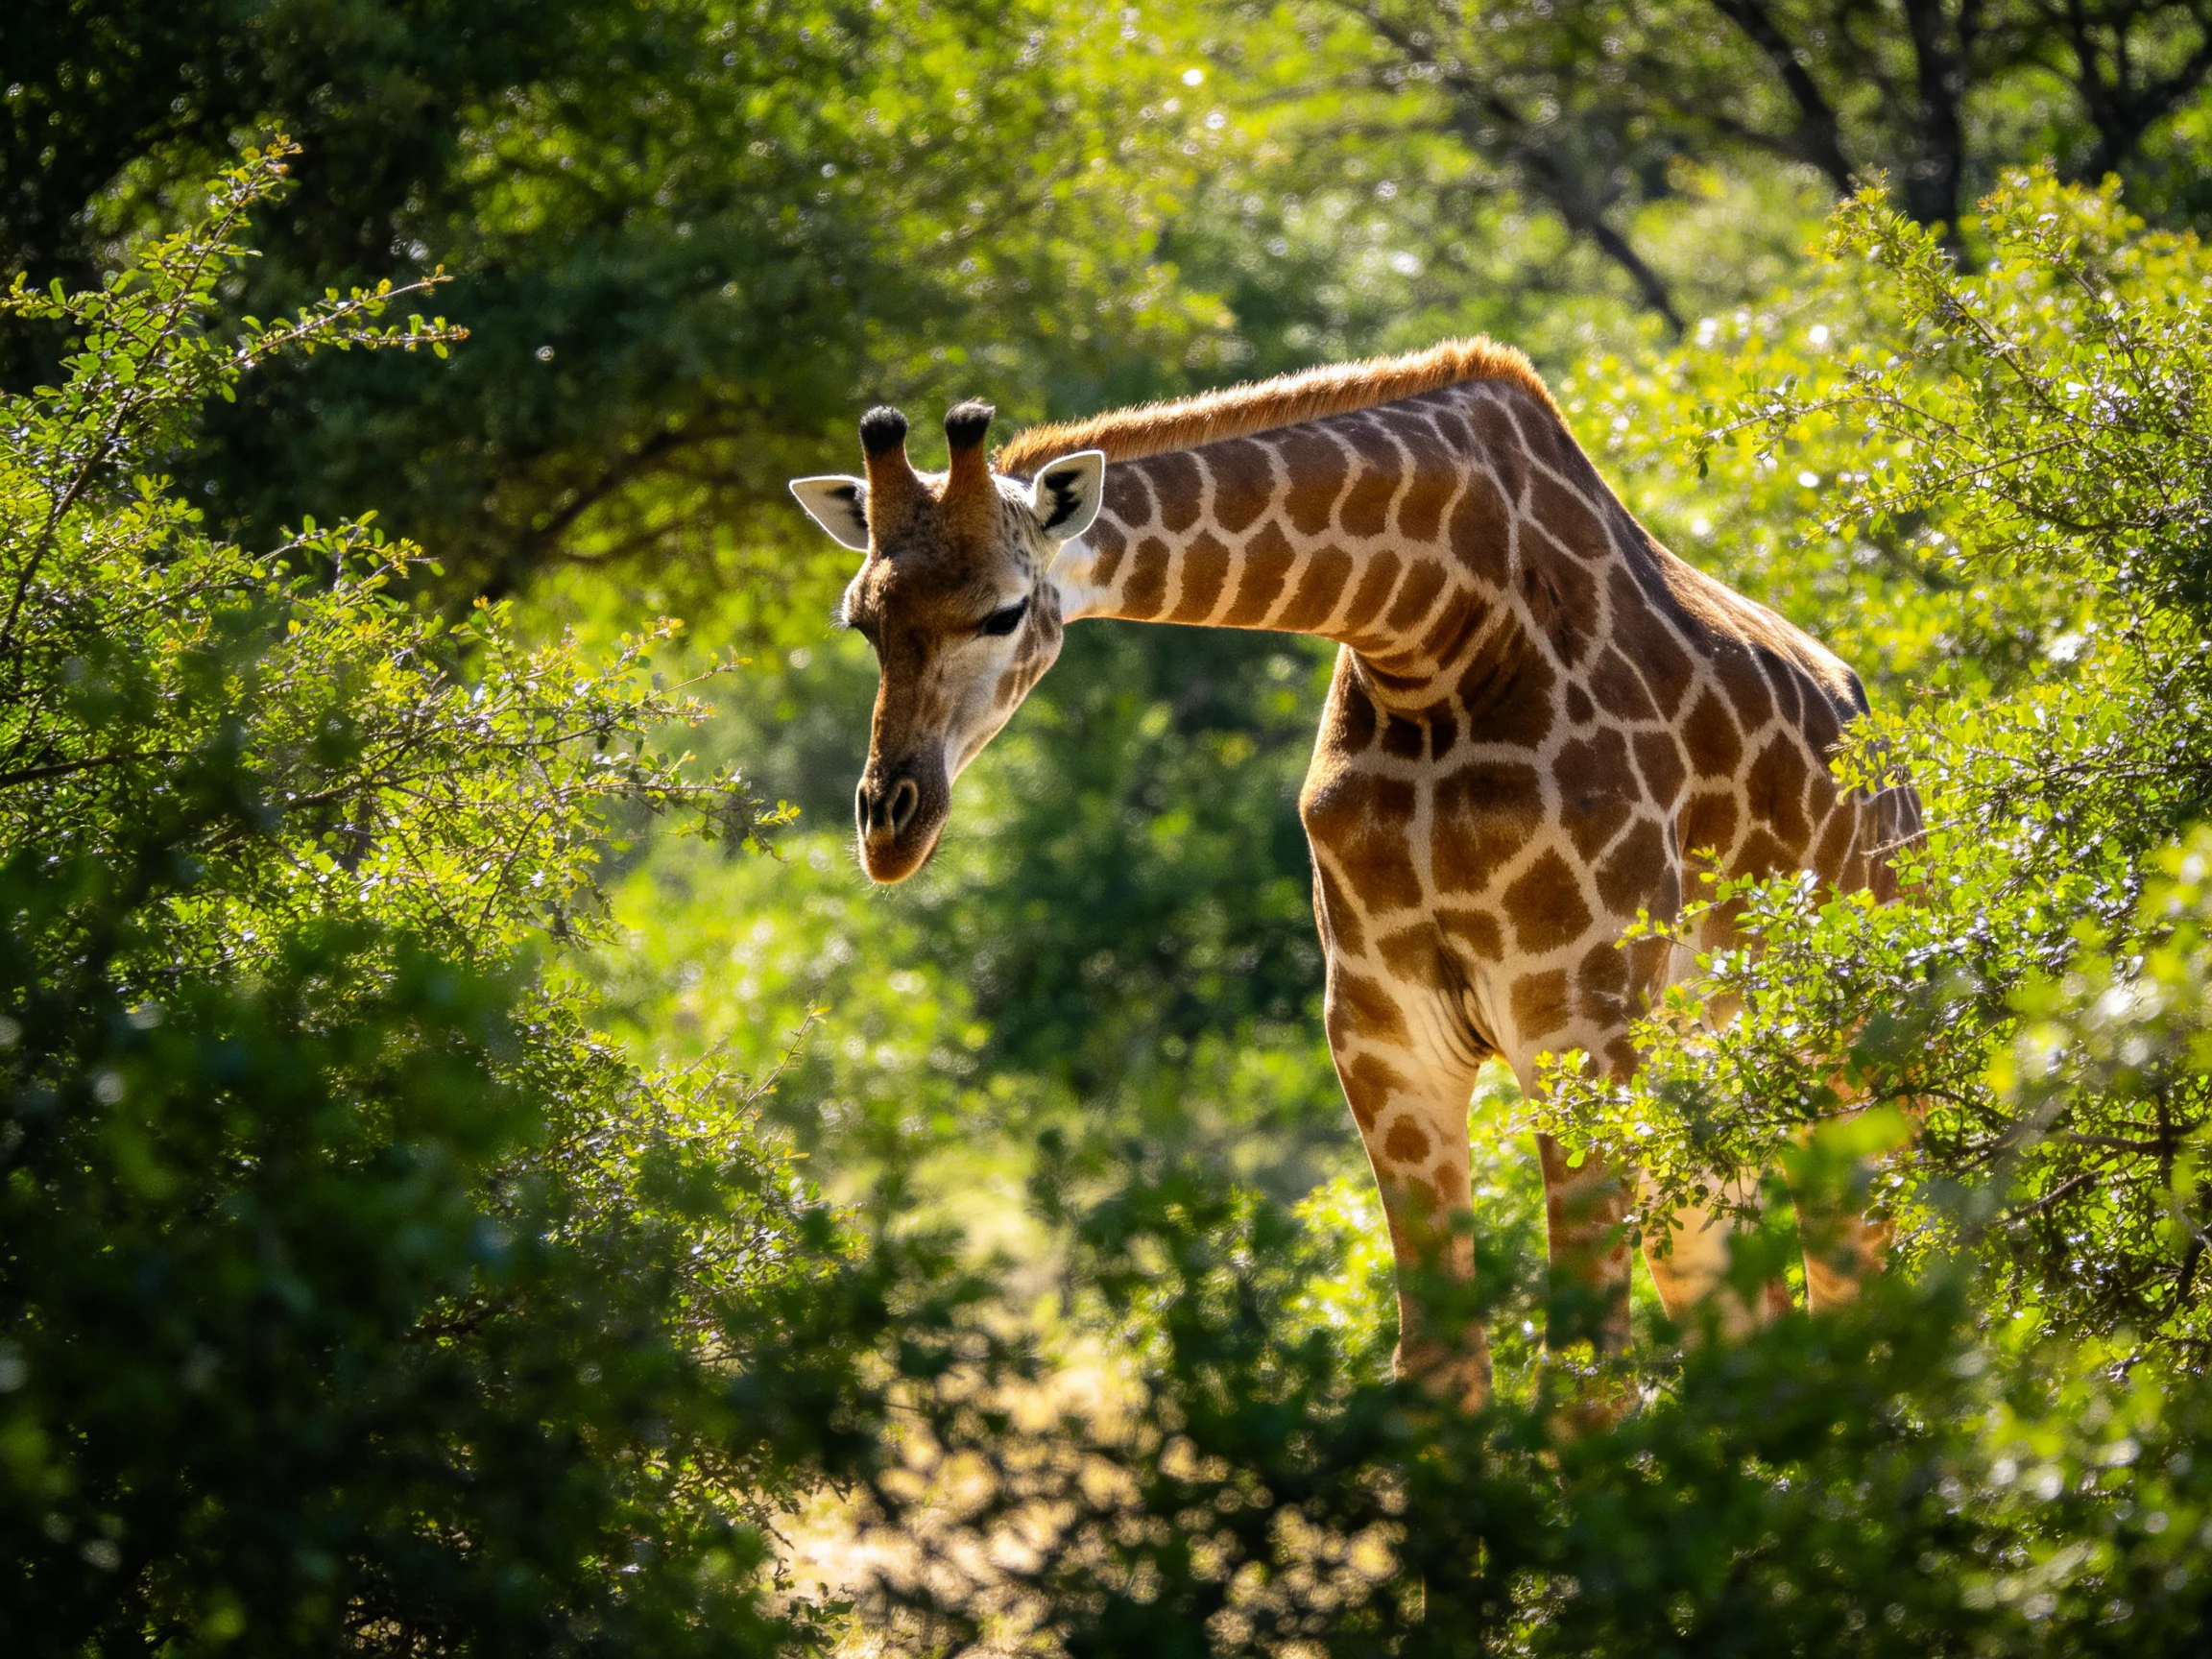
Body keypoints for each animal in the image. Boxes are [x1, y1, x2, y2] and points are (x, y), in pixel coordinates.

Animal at [788, 339, 1922, 1405]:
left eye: (1005, 611)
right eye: (861, 620)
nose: (889, 825)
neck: (1433, 633)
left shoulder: (1579, 1024)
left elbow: (1585, 1373)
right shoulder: (1385, 1035)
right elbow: (1438, 1368)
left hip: (1849, 1057)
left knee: (1859, 1285)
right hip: (1703, 1078)